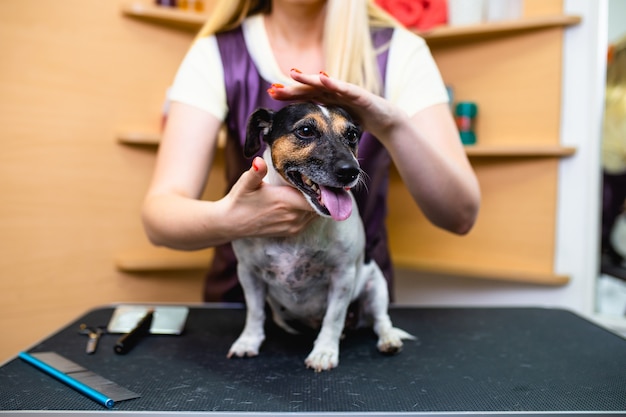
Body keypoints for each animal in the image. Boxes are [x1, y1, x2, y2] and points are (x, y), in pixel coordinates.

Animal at [227, 101, 412, 370]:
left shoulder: (343, 276)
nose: (351, 171)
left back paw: (388, 340)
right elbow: (255, 312)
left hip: (375, 286)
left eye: (352, 135)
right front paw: (248, 341)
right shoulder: (248, 273)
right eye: (305, 130)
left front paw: (324, 352)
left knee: (381, 321)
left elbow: (333, 318)